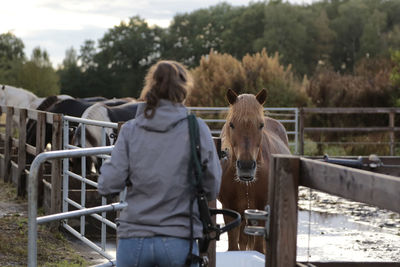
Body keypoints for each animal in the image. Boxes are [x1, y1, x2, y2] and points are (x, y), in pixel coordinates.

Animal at [219, 89, 290, 254]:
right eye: (231, 124)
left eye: (261, 125)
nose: (246, 166)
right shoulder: (230, 210)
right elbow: (234, 247)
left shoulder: (261, 209)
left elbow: (258, 248)